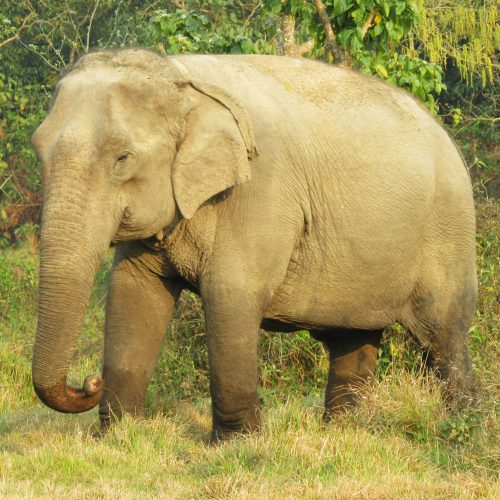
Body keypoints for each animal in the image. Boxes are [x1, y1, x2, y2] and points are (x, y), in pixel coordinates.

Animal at [31, 48, 476, 442]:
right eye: (38, 150)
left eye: (122, 159)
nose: (90, 382)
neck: (181, 76)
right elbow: (133, 294)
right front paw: (119, 437)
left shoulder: (260, 190)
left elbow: (230, 295)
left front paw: (236, 443)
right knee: (353, 339)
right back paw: (344, 432)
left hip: (447, 232)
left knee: (443, 334)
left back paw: (461, 427)